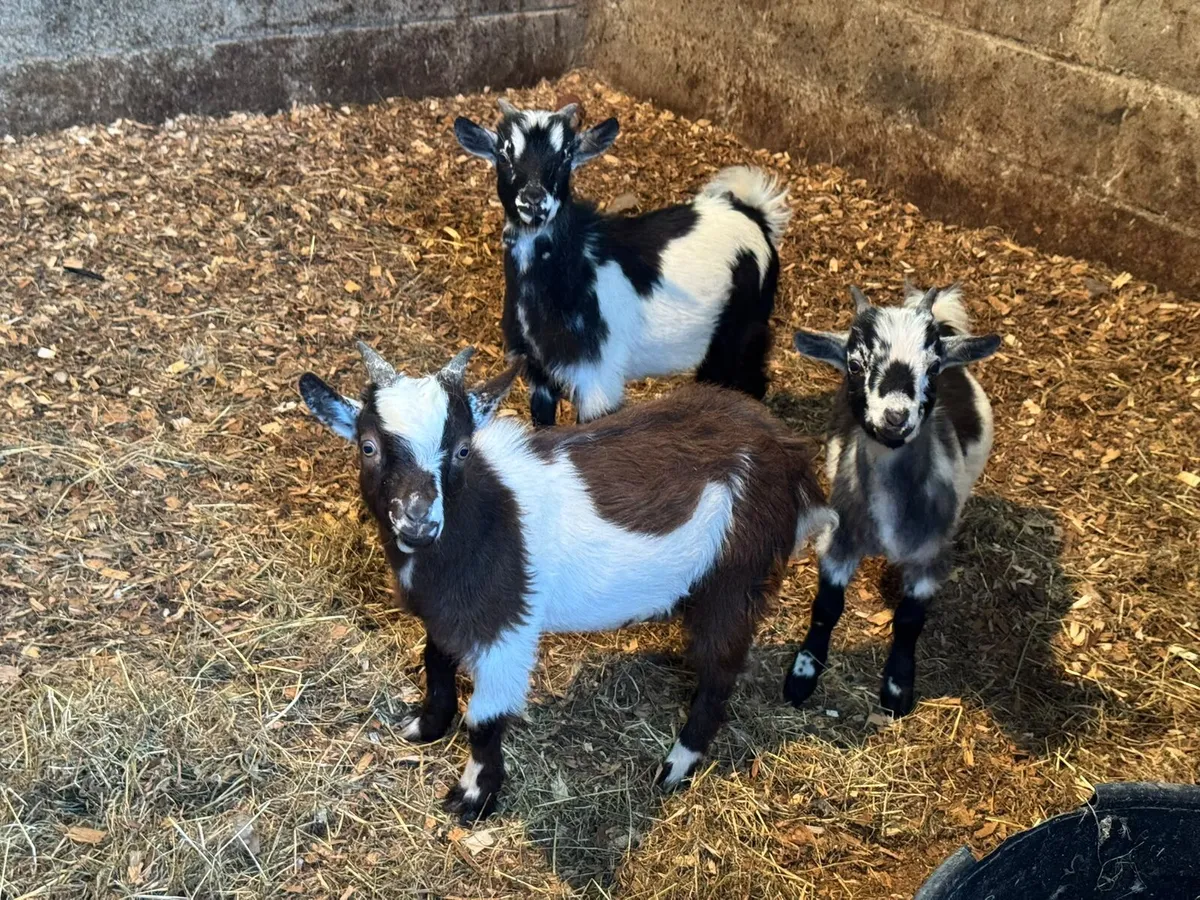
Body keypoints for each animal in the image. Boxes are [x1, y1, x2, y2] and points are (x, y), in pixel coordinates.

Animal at [299, 342, 832, 821]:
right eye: (368, 447)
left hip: (738, 575)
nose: (419, 523)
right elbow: (435, 661)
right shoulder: (448, 612)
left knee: (722, 670)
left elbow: (484, 721)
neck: (482, 517)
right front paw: (424, 726)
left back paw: (677, 764)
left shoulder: (506, 628)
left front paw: (473, 798)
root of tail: (792, 458)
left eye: (463, 449)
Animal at [454, 99, 791, 426]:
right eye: (503, 153)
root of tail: (753, 214)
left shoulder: (597, 380)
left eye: (566, 155)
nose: (534, 200)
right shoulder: (539, 375)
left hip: (743, 326)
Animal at [783, 282, 1000, 717]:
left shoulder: (930, 555)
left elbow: (909, 620)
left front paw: (897, 688)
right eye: (854, 364)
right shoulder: (839, 540)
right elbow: (826, 607)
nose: (895, 417)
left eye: (933, 367)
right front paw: (802, 675)